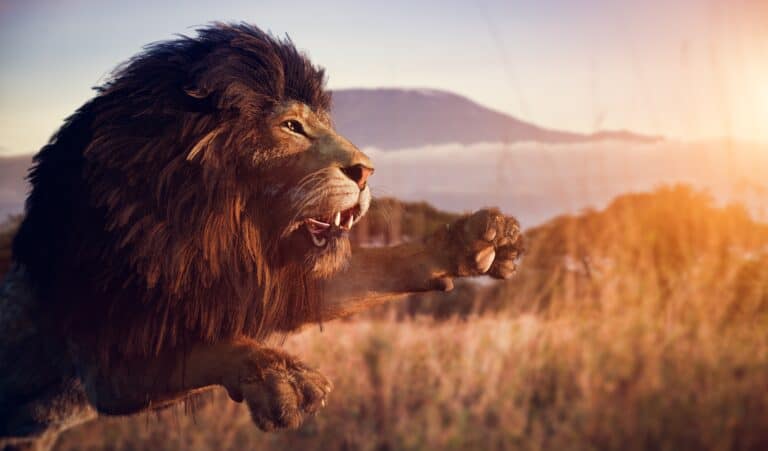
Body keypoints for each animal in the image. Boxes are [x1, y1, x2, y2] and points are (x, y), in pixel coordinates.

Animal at [0, 23, 523, 450]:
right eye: (292, 127)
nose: (367, 171)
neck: (213, 225)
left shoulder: (267, 281)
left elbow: (379, 266)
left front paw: (473, 242)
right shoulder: (106, 357)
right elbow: (205, 349)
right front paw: (278, 376)